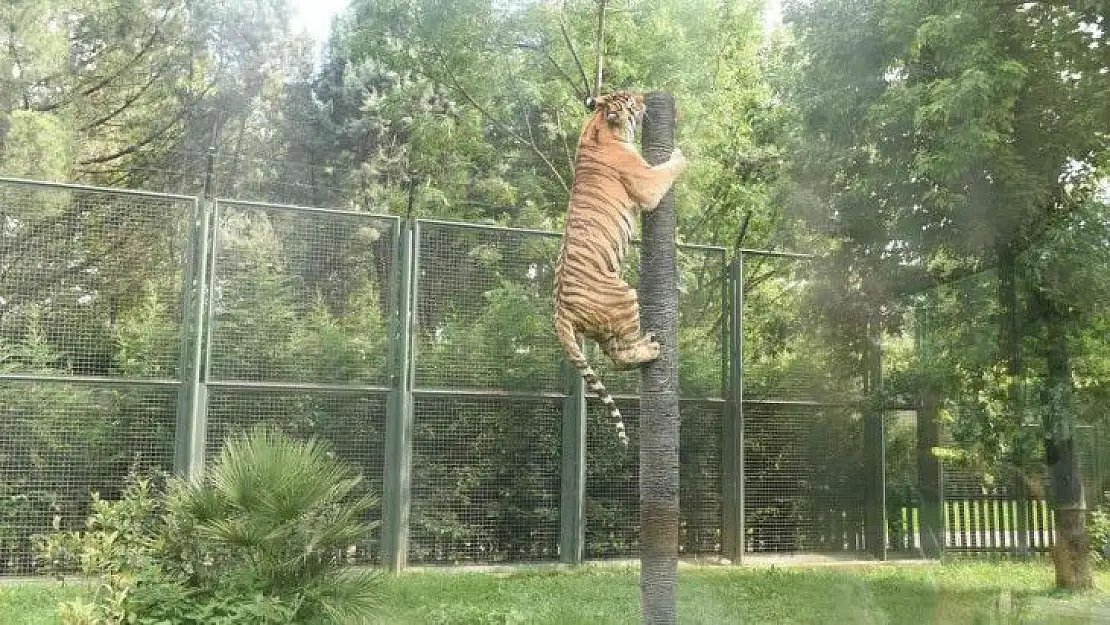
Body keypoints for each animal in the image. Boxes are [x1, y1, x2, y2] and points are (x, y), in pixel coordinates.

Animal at [552, 90, 683, 448]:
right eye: (629, 100)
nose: (642, 95)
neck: (598, 125)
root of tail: (559, 312)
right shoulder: (648, 183)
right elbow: (668, 169)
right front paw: (681, 153)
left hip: (606, 321)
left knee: (614, 356)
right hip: (624, 296)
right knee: (620, 358)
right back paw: (651, 346)